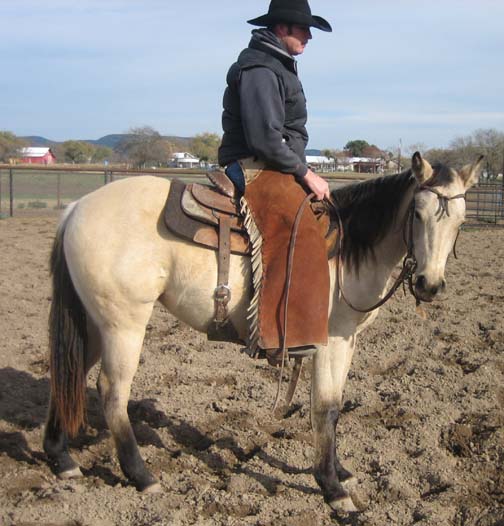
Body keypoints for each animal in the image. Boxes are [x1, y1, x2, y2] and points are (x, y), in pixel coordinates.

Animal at [43, 154, 484, 516]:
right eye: (418, 214)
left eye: (460, 222)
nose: (429, 285)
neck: (349, 248)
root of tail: (77, 209)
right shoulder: (329, 342)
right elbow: (325, 408)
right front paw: (333, 490)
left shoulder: (348, 341)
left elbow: (337, 406)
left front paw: (341, 471)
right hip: (124, 324)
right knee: (111, 392)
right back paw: (142, 476)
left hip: (94, 322)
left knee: (69, 376)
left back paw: (61, 460)